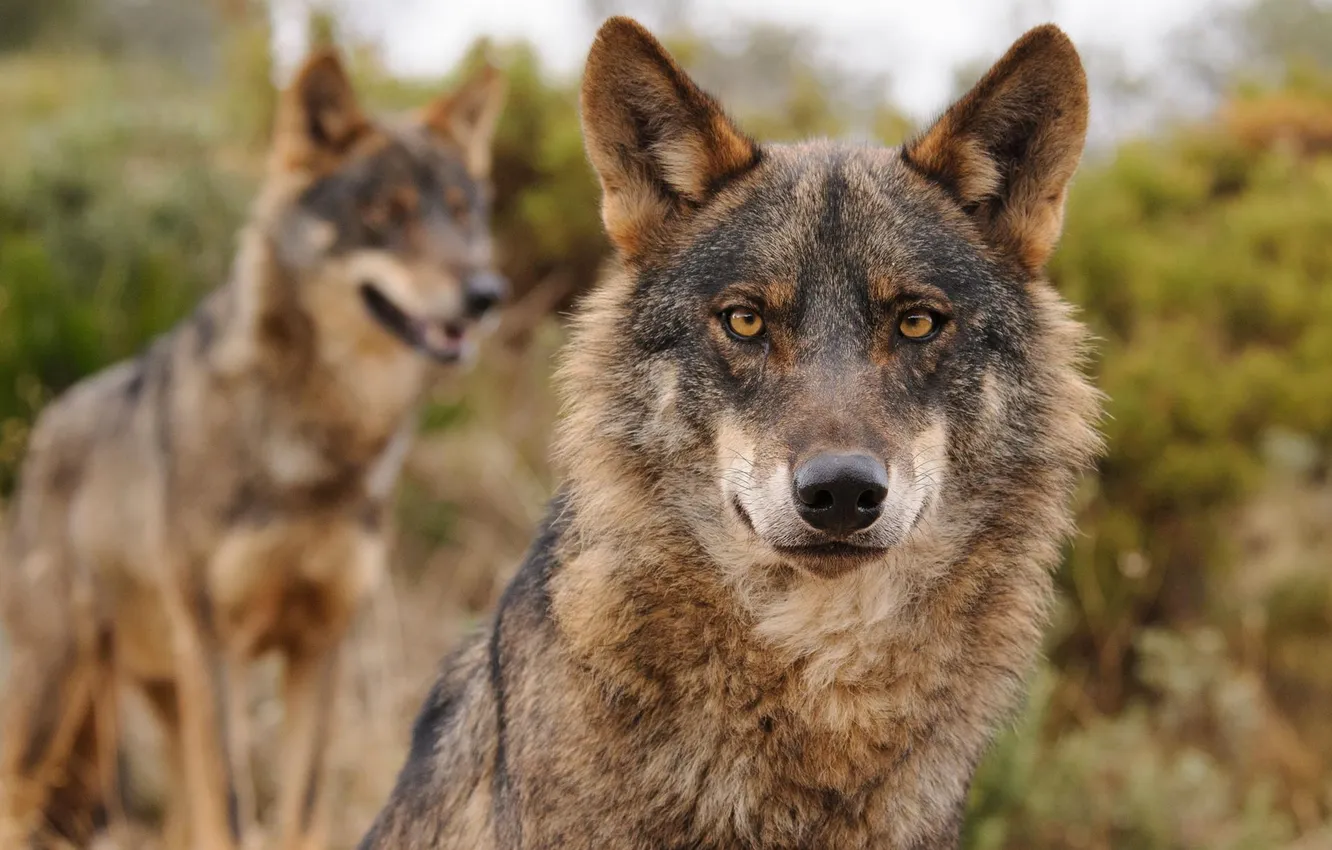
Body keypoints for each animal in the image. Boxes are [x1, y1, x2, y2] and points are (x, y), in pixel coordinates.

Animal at [0, 47, 506, 850]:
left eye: (461, 215)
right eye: (384, 215)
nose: (486, 294)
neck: (320, 449)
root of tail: (45, 424)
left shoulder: (320, 649)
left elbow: (300, 811)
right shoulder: (219, 651)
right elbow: (235, 812)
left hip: (160, 703)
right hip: (57, 703)